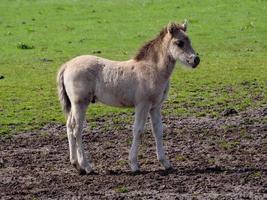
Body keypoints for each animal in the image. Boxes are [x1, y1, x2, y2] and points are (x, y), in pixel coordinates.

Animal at [58, 20, 201, 173]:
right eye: (179, 43)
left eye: (189, 40)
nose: (196, 60)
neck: (152, 70)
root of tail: (67, 65)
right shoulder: (142, 105)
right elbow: (138, 130)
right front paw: (134, 164)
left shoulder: (155, 106)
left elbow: (158, 130)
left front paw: (165, 163)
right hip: (80, 103)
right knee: (77, 130)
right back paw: (86, 166)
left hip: (74, 105)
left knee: (69, 126)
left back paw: (76, 164)